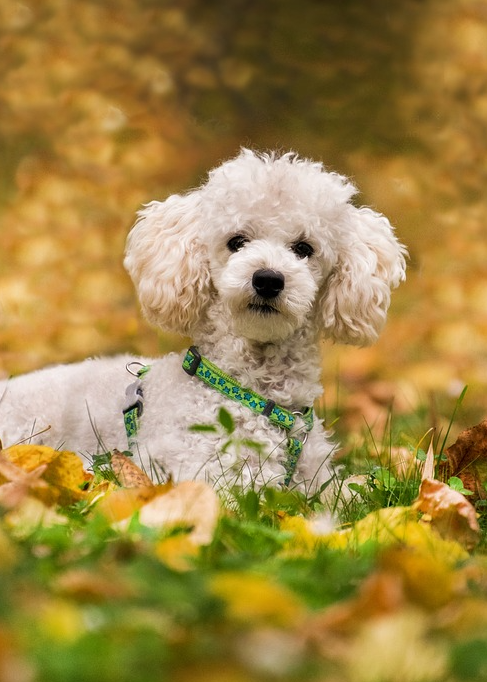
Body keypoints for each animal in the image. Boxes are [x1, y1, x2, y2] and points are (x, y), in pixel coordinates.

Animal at [0, 149, 406, 495]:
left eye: (304, 248)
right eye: (236, 241)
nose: (268, 279)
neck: (257, 395)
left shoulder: (318, 482)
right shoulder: (208, 474)